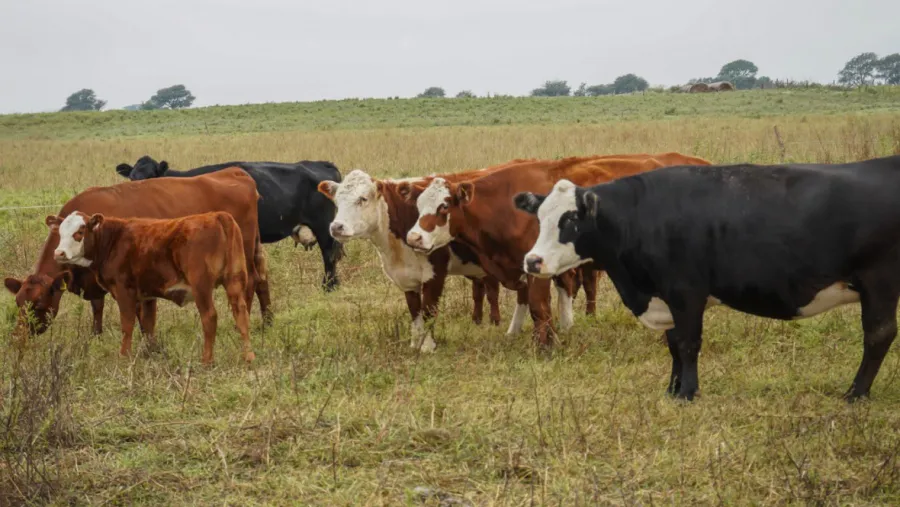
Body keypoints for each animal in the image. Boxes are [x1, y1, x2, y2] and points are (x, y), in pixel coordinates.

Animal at [5, 168, 269, 336]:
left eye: (38, 304)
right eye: (18, 303)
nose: (21, 336)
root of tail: (235, 173)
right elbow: (97, 307)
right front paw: (96, 335)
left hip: (241, 253)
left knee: (249, 282)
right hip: (254, 248)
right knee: (263, 280)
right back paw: (268, 321)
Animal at [49, 211, 255, 364]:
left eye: (79, 232)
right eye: (60, 233)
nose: (58, 253)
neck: (113, 241)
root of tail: (217, 215)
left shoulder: (124, 291)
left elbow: (127, 325)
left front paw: (124, 356)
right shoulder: (148, 295)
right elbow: (148, 325)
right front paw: (150, 353)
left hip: (201, 286)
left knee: (209, 317)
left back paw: (207, 360)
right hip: (234, 280)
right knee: (241, 313)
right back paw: (248, 356)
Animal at [115, 156, 343, 291]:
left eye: (152, 176)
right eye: (132, 178)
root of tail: (320, 163)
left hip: (324, 226)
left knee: (329, 254)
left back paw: (329, 286)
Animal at [406, 153, 712, 347]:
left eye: (444, 206)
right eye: (419, 205)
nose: (414, 237)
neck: (504, 206)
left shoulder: (538, 267)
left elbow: (539, 306)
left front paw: (545, 346)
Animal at [515, 154, 900, 402]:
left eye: (570, 220)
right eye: (540, 218)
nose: (532, 261)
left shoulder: (686, 292)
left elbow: (688, 343)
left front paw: (688, 392)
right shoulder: (666, 296)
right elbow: (673, 343)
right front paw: (672, 390)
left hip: (879, 283)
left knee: (878, 335)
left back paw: (856, 393)